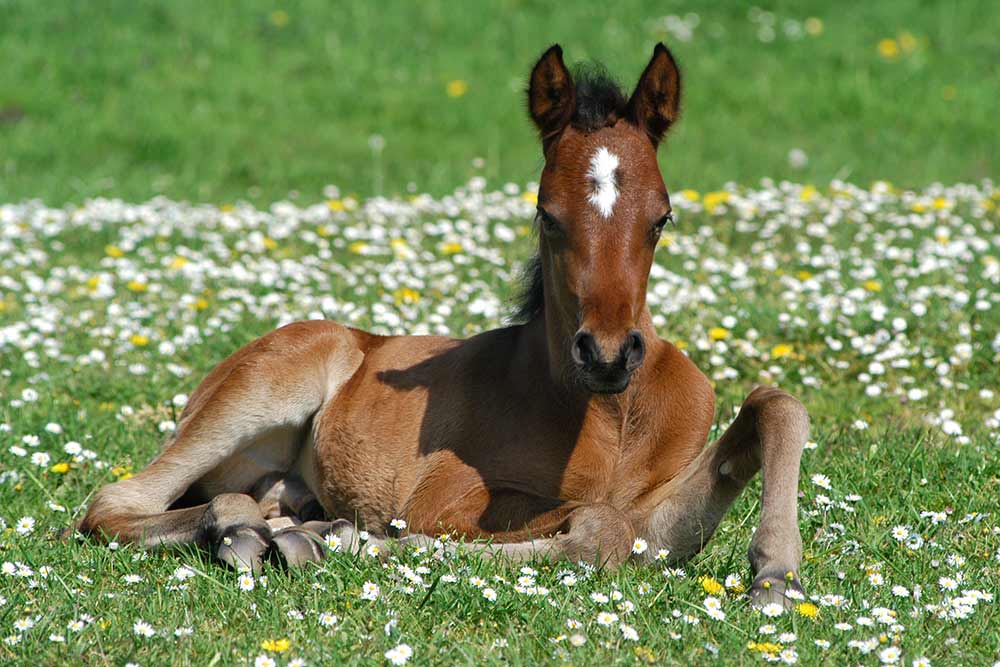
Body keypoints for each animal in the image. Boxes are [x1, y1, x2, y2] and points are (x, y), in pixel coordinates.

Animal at [80, 44, 812, 612]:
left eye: (661, 218)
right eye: (547, 214)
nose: (607, 355)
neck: (609, 420)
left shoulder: (663, 510)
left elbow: (771, 408)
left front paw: (775, 576)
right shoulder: (444, 500)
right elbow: (596, 524)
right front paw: (373, 542)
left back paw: (284, 532)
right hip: (262, 390)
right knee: (114, 501)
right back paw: (251, 533)